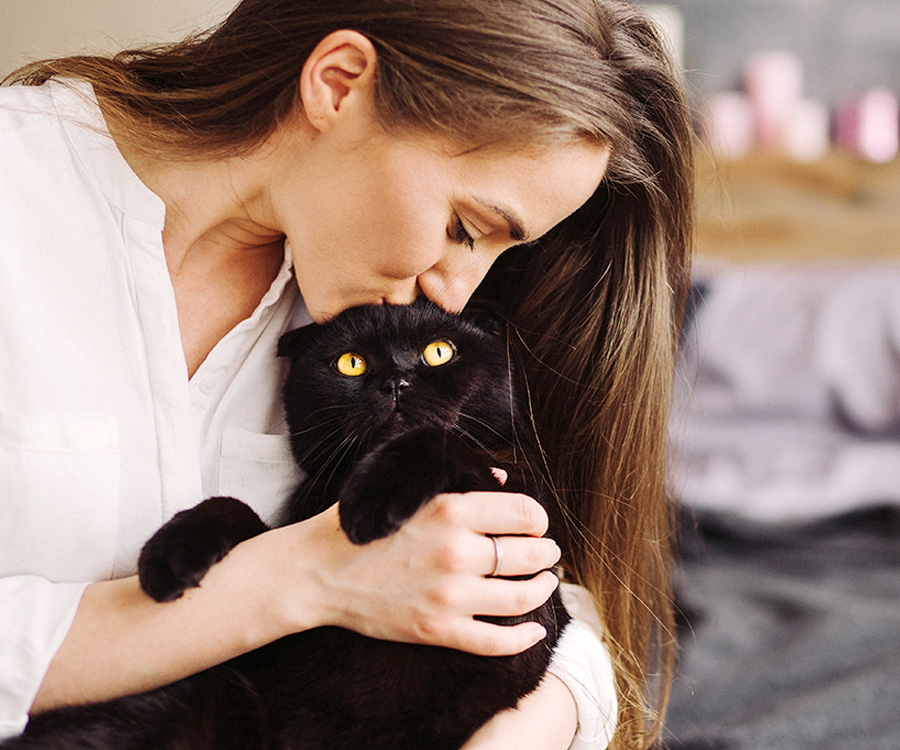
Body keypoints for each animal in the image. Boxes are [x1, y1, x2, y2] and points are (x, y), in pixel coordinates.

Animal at [5, 300, 568, 750]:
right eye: (350, 363)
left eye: (438, 352)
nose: (395, 381)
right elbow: (236, 508)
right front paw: (169, 555)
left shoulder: (519, 593)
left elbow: (440, 439)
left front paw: (368, 504)